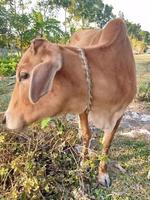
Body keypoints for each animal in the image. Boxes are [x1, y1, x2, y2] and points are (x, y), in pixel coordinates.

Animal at [2, 18, 136, 187]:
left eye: (24, 75)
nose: (4, 118)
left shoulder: (120, 112)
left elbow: (107, 142)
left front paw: (102, 173)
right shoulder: (84, 106)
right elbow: (87, 134)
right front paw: (84, 163)